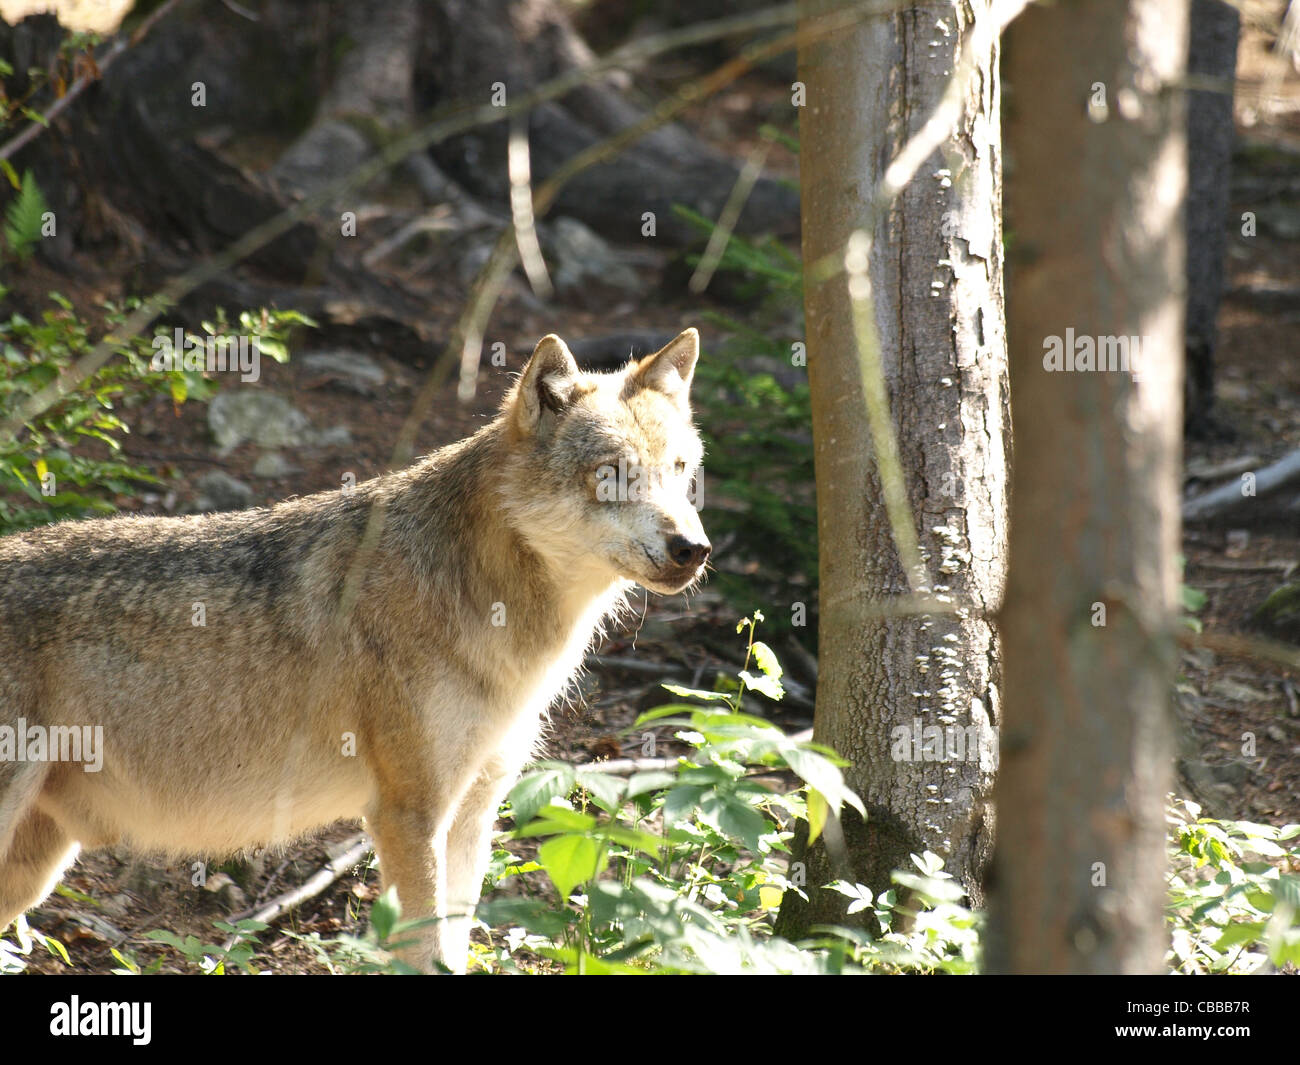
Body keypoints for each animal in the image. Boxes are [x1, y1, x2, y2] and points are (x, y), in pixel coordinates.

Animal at [0, 328, 712, 972]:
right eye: (611, 475)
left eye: (681, 472)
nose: (694, 549)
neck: (485, 599)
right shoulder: (407, 814)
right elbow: (428, 953)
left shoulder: (475, 812)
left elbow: (457, 939)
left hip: (35, 865)